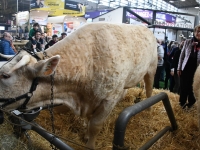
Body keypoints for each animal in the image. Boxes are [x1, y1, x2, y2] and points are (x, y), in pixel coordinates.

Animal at [0, 22, 157, 149]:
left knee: (149, 89)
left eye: (5, 75)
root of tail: (145, 28)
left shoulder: (108, 100)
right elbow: (88, 120)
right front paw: (86, 134)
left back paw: (149, 109)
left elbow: (95, 125)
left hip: (151, 68)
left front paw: (90, 144)